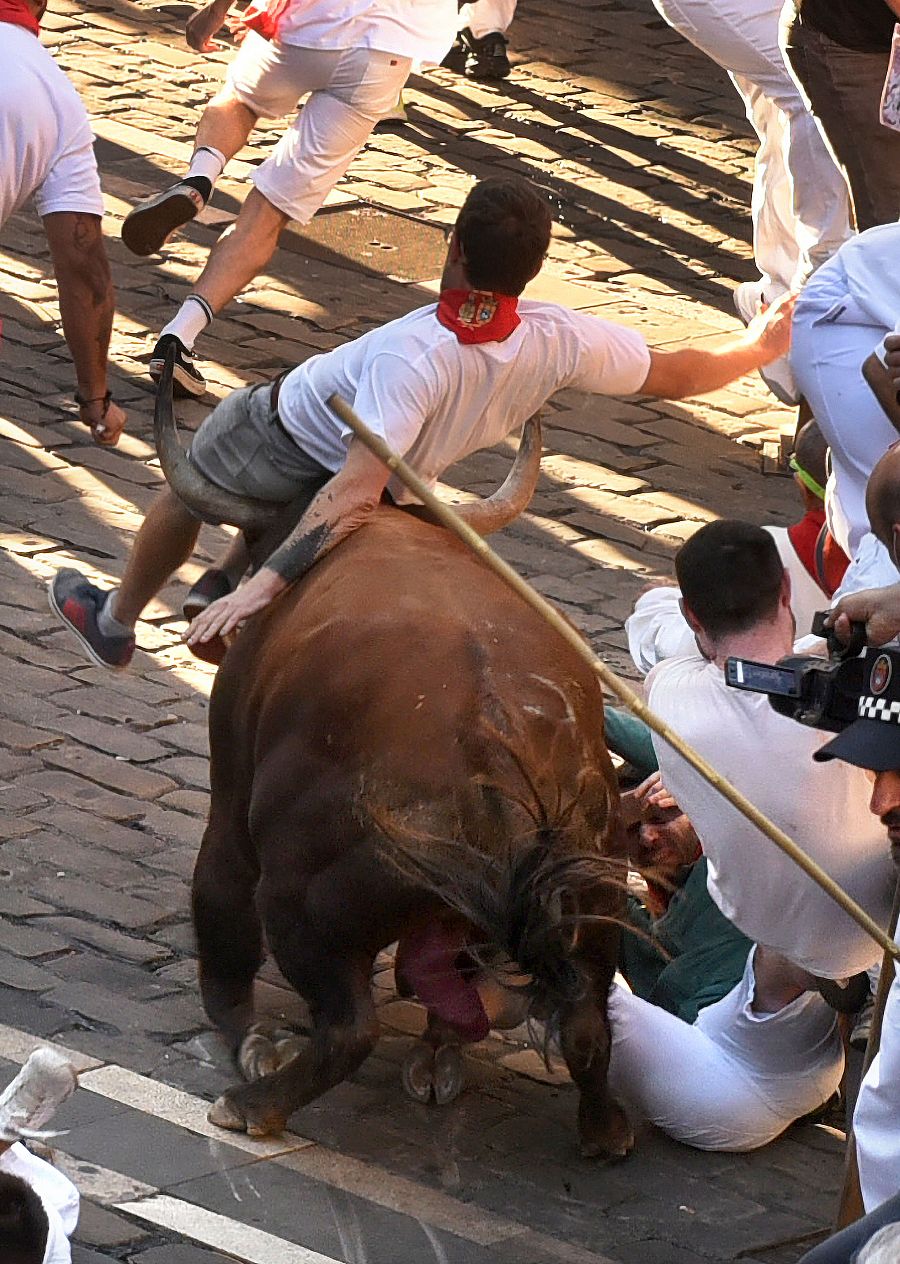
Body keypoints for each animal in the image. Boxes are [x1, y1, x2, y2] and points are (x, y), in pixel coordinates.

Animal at [156, 366, 632, 1157]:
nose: (205, 602)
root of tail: (503, 767)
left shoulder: (231, 803)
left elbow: (221, 927)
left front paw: (252, 1041)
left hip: (302, 905)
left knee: (349, 1027)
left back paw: (254, 1102)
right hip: (593, 906)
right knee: (587, 1022)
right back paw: (599, 1126)